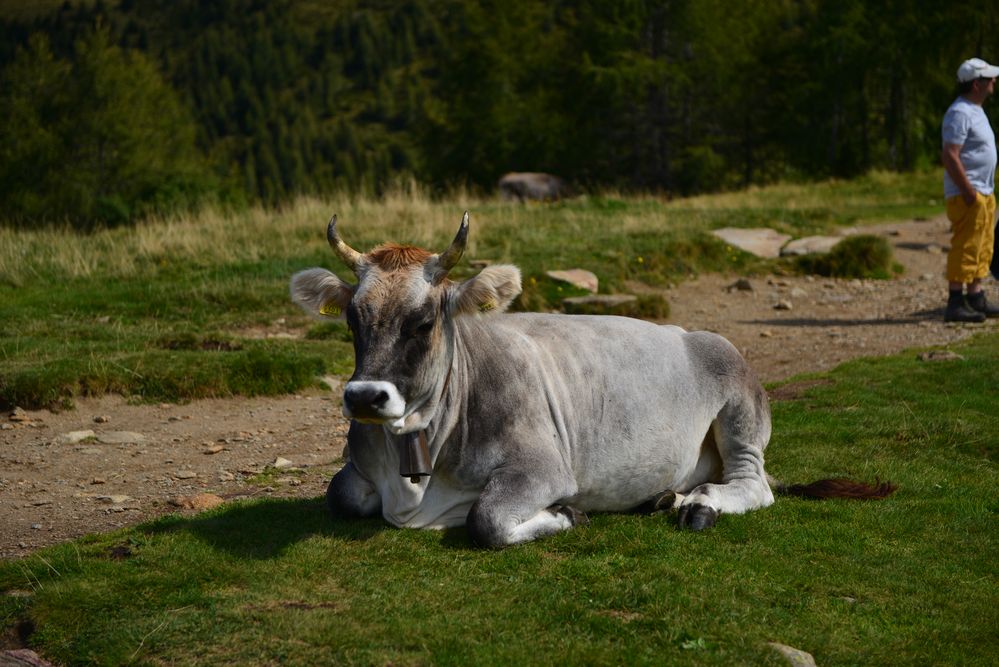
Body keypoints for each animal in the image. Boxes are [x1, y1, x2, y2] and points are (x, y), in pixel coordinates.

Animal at [292, 214, 900, 548]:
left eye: (422, 322)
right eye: (352, 320)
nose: (365, 397)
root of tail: (700, 334)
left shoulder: (541, 467)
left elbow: (487, 521)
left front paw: (565, 515)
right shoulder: (357, 475)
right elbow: (340, 494)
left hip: (741, 412)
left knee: (755, 485)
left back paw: (700, 504)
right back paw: (667, 496)